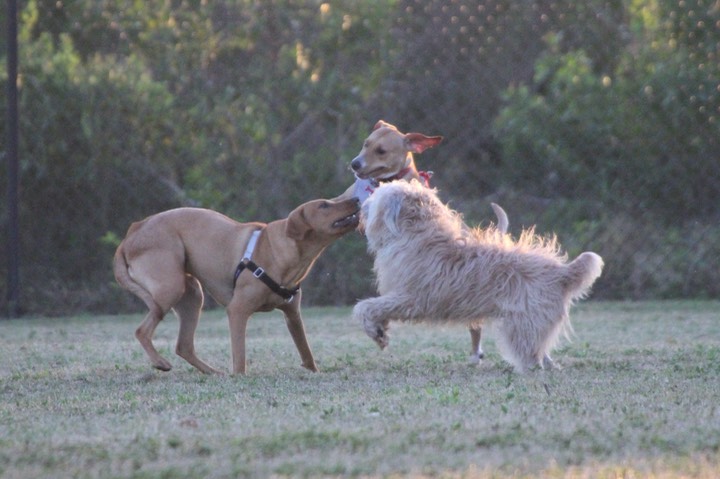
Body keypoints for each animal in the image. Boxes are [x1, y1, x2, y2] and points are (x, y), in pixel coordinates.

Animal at [114, 198, 360, 376]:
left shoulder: (293, 314)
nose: (356, 199)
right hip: (170, 288)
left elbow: (306, 350)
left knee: (183, 346)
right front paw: (240, 377)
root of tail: (132, 233)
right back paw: (161, 362)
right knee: (142, 331)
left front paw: (314, 371)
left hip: (192, 294)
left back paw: (213, 372)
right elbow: (240, 354)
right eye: (324, 205)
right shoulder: (237, 310)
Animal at [354, 180, 600, 372]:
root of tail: (562, 272)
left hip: (522, 323)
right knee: (540, 348)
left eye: (376, 196)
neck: (417, 232)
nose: (360, 205)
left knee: (531, 355)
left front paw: (374, 330)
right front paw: (380, 330)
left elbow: (366, 306)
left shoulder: (411, 298)